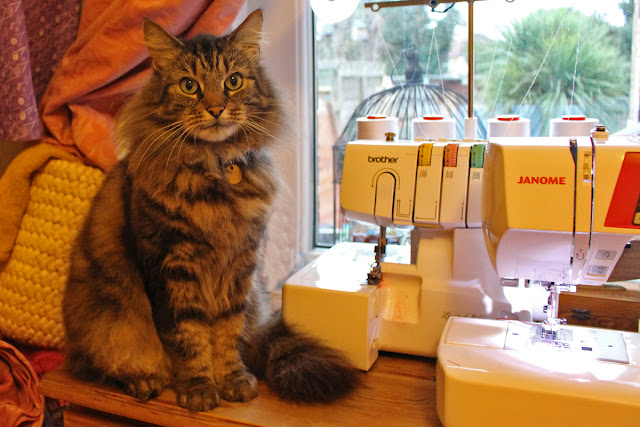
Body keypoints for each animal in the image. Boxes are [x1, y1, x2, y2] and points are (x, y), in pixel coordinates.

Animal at [62, 9, 358, 412]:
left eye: (233, 81)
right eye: (189, 86)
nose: (216, 109)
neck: (215, 167)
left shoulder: (241, 266)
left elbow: (227, 332)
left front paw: (232, 379)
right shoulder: (170, 266)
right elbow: (188, 336)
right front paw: (198, 388)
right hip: (107, 320)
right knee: (105, 362)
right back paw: (144, 381)